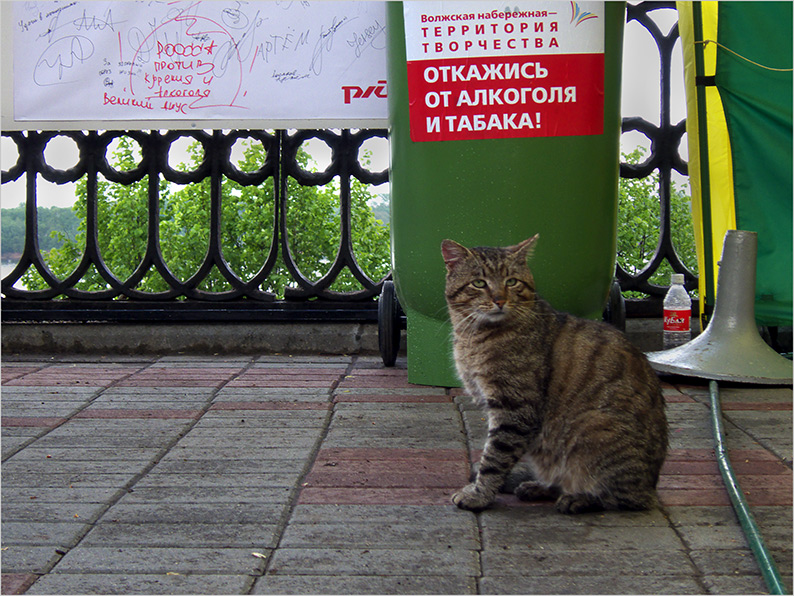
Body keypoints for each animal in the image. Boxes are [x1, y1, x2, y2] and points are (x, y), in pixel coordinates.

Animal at [442, 235, 664, 516]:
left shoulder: (515, 408)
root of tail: (652, 484)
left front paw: (479, 495)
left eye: (511, 281)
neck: (472, 336)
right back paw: (539, 486)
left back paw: (579, 498)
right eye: (479, 283)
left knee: (624, 498)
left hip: (595, 426)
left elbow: (494, 458)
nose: (500, 300)